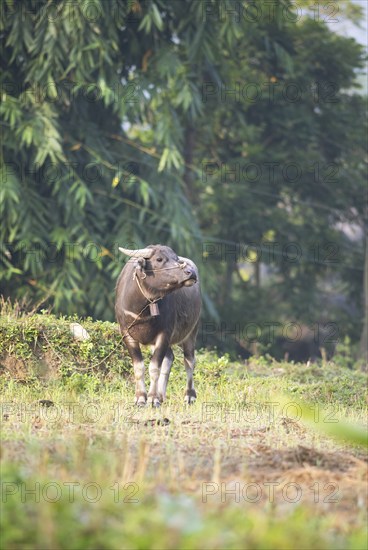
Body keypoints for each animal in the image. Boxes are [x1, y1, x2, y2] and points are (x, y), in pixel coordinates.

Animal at [115, 245, 201, 406]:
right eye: (159, 259)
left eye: (176, 258)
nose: (190, 272)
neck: (142, 308)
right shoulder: (126, 334)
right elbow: (139, 367)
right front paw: (140, 397)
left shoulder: (164, 334)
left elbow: (154, 367)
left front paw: (152, 398)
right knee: (170, 357)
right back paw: (161, 395)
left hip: (192, 332)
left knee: (189, 361)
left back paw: (189, 395)